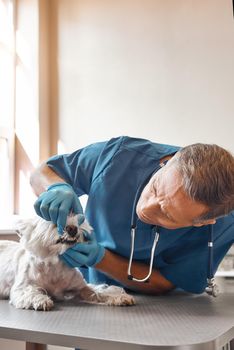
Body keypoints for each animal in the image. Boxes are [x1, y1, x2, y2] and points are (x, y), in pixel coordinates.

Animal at [0, 215, 135, 310]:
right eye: (54, 219)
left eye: (75, 216)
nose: (72, 228)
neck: (55, 265)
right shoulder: (22, 287)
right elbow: (30, 292)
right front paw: (41, 300)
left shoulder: (81, 287)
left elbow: (96, 291)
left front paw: (119, 297)